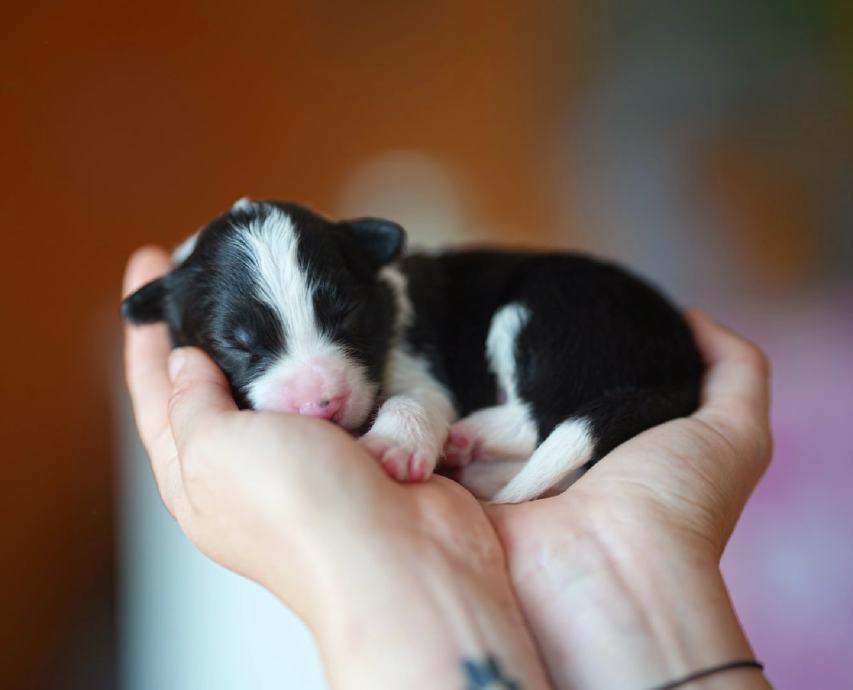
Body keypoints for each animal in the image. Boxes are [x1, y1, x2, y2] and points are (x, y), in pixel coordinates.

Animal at [123, 198, 704, 500]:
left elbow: (413, 401)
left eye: (346, 315)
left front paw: (392, 446)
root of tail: (685, 363)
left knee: (546, 413)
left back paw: (470, 441)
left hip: (550, 311)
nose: (323, 403)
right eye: (234, 343)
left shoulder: (418, 366)